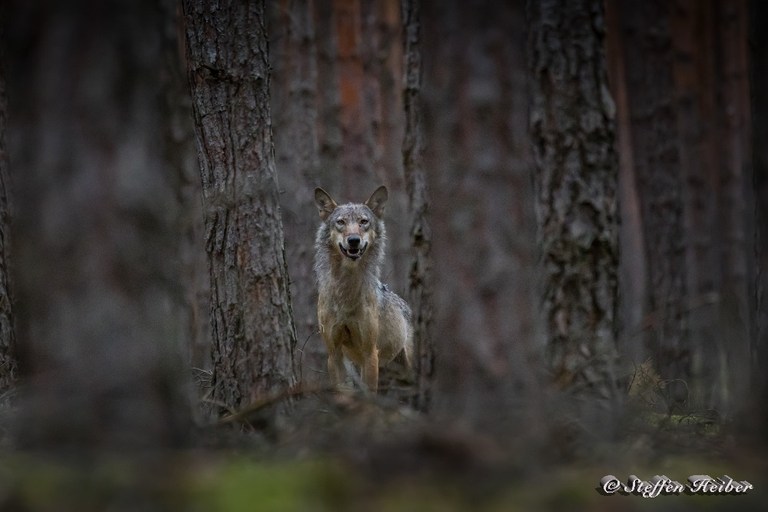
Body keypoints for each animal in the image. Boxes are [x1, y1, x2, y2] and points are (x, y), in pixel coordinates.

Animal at [314, 186, 414, 390]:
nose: (353, 240)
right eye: (341, 222)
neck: (345, 294)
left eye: (363, 222)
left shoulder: (370, 354)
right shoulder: (334, 354)